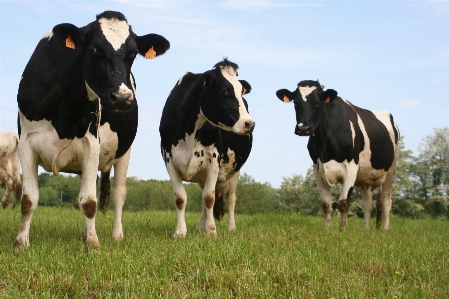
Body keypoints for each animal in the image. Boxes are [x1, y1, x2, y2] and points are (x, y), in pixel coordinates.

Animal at [14, 10, 169, 252]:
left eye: (133, 53)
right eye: (94, 49)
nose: (122, 97)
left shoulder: (91, 144)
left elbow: (88, 202)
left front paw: (93, 244)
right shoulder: (26, 143)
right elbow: (28, 199)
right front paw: (21, 243)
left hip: (125, 152)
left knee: (118, 194)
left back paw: (116, 235)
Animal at [159, 58, 254, 237]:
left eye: (241, 92)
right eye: (224, 90)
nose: (250, 124)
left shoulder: (214, 160)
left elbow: (209, 198)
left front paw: (211, 232)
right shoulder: (169, 159)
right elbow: (181, 198)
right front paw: (180, 232)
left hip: (235, 172)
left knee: (231, 199)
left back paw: (230, 227)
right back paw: (199, 227)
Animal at [274, 81, 398, 231]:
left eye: (317, 103)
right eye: (296, 103)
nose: (303, 128)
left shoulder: (351, 167)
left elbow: (343, 202)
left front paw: (343, 229)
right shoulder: (318, 169)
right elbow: (326, 204)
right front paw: (326, 229)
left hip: (391, 169)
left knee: (386, 201)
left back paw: (386, 229)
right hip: (365, 176)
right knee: (367, 204)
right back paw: (366, 230)